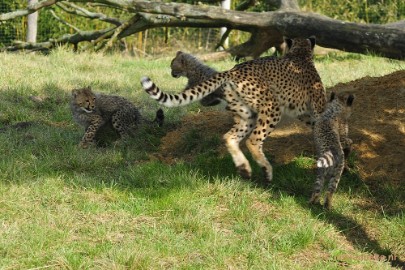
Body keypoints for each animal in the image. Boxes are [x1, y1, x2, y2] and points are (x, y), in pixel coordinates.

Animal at [141, 37, 326, 181]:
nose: (172, 73)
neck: (300, 53)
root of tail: (233, 70)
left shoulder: (306, 114)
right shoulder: (317, 109)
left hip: (246, 114)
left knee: (229, 136)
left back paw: (244, 168)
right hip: (271, 108)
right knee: (252, 140)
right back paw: (266, 170)